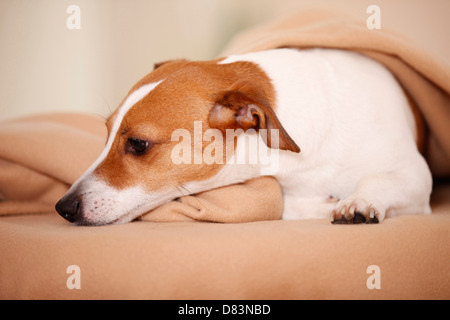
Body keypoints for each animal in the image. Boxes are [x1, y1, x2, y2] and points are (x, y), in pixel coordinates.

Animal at [55, 48, 432, 226]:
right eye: (106, 135)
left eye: (138, 144)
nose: (63, 207)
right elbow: (281, 202)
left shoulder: (416, 174)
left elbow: (377, 180)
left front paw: (358, 202)